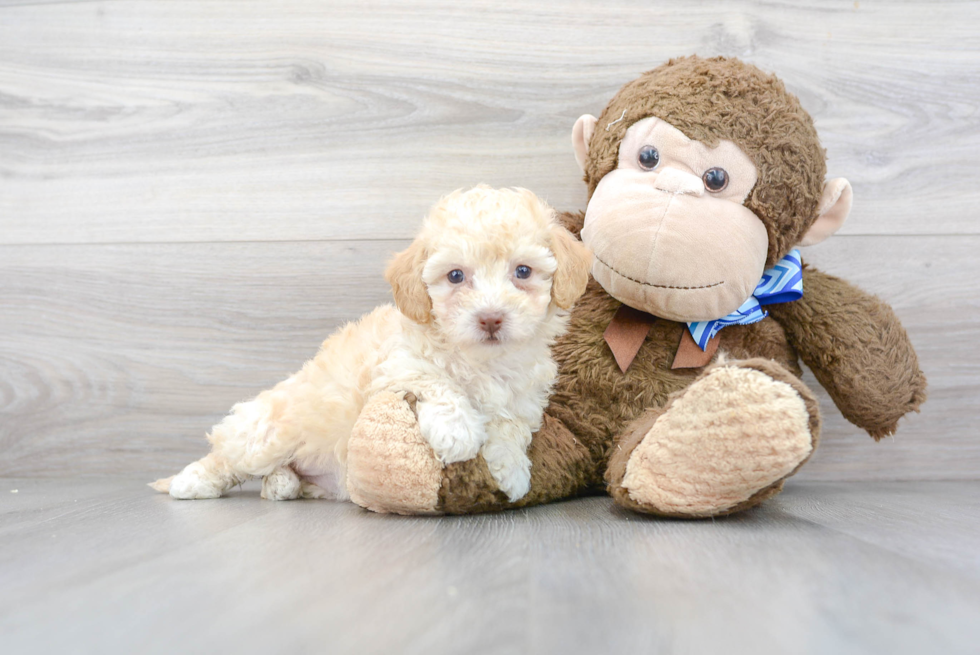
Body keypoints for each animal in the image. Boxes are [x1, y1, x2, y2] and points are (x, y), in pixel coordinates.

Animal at [146, 187, 588, 504]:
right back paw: (191, 482)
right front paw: (458, 431)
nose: (491, 318)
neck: (482, 361)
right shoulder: (393, 369)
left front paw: (512, 470)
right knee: (228, 456)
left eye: (523, 272)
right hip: (267, 434)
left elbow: (511, 425)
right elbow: (437, 381)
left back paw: (282, 484)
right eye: (456, 276)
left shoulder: (524, 398)